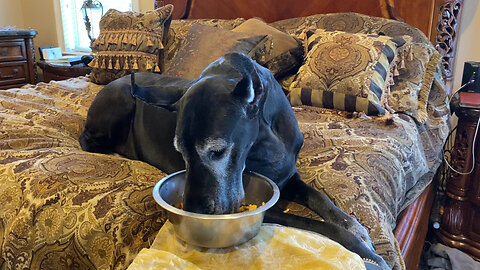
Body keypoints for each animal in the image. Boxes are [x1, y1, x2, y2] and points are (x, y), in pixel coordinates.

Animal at [79, 52, 390, 268]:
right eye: (180, 152)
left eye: (217, 152)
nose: (194, 211)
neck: (266, 141)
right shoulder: (268, 206)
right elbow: (316, 224)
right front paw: (365, 251)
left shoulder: (289, 178)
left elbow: (322, 200)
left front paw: (355, 228)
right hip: (119, 102)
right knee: (87, 140)